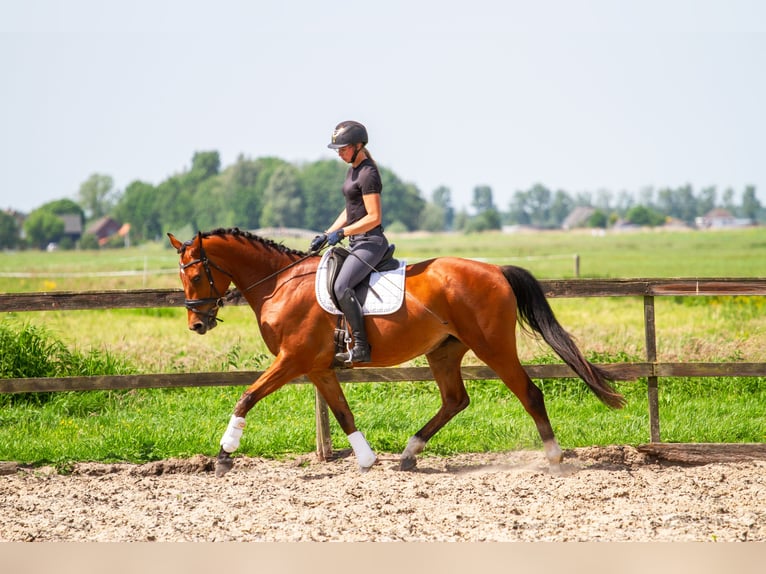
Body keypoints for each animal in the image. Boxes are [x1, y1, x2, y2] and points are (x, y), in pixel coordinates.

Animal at [168, 228, 624, 478]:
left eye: (196, 274)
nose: (196, 324)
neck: (281, 285)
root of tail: (495, 269)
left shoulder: (292, 360)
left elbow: (246, 396)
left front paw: (223, 456)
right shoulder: (318, 368)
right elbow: (343, 413)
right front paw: (368, 460)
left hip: (493, 347)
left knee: (529, 393)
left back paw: (554, 457)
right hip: (444, 352)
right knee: (455, 399)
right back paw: (409, 452)